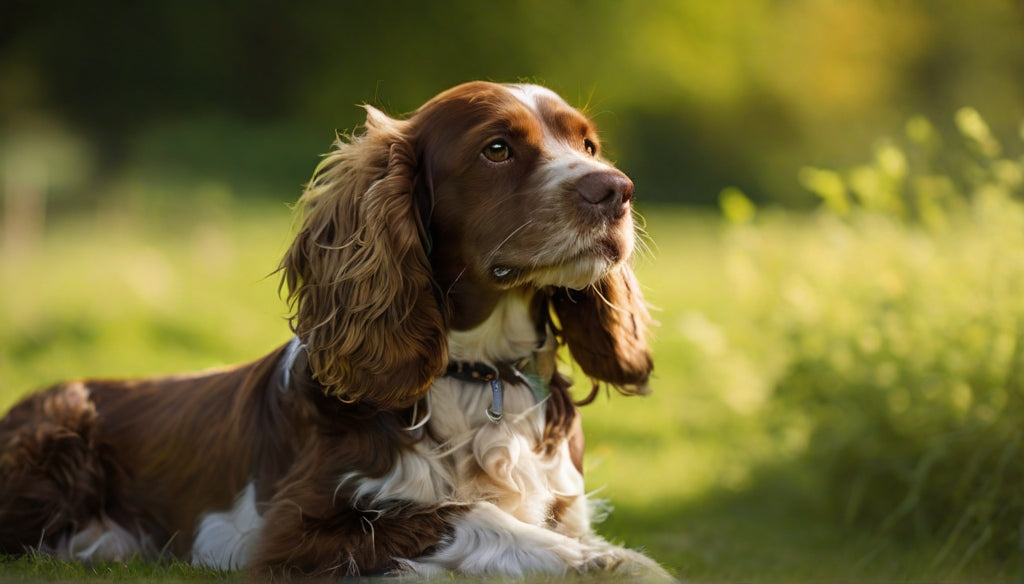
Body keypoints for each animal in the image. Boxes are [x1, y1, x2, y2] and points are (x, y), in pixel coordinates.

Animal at [0, 81, 671, 577]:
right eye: (498, 148)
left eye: (588, 145)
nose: (617, 190)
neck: (480, 375)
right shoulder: (289, 534)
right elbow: (460, 515)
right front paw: (600, 563)